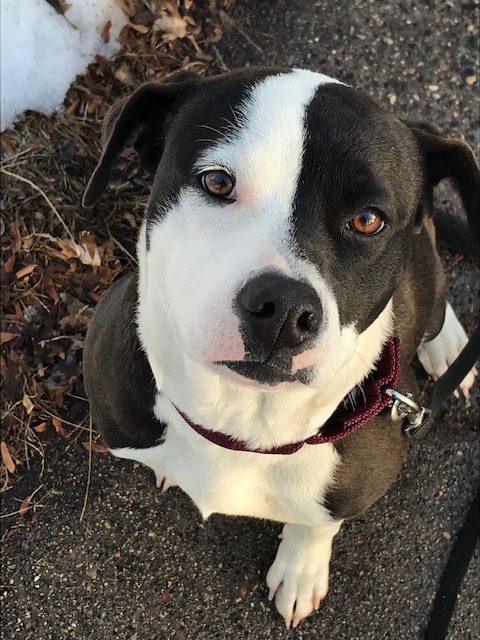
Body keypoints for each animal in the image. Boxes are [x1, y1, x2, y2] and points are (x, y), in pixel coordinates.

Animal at [81, 67, 476, 628]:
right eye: (217, 182)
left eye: (369, 219)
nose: (285, 311)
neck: (242, 424)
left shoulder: (353, 486)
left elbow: (318, 523)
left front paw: (301, 567)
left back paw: (448, 346)